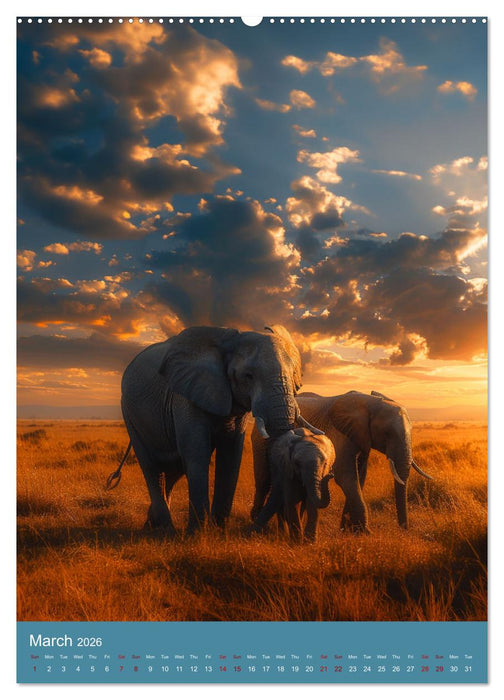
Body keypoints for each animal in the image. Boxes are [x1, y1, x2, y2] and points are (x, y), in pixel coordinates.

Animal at [107, 325, 321, 535]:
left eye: (293, 375)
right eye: (248, 376)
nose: (252, 528)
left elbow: (231, 455)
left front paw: (219, 530)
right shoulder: (186, 396)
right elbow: (196, 452)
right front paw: (197, 534)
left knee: (174, 468)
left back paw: (152, 525)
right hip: (129, 413)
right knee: (152, 466)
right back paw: (167, 530)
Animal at [252, 390, 432, 533]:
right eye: (387, 433)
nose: (403, 530)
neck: (370, 402)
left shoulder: (361, 437)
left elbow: (359, 477)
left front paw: (348, 531)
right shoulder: (339, 432)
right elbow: (346, 477)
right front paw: (365, 533)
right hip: (260, 439)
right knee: (263, 480)